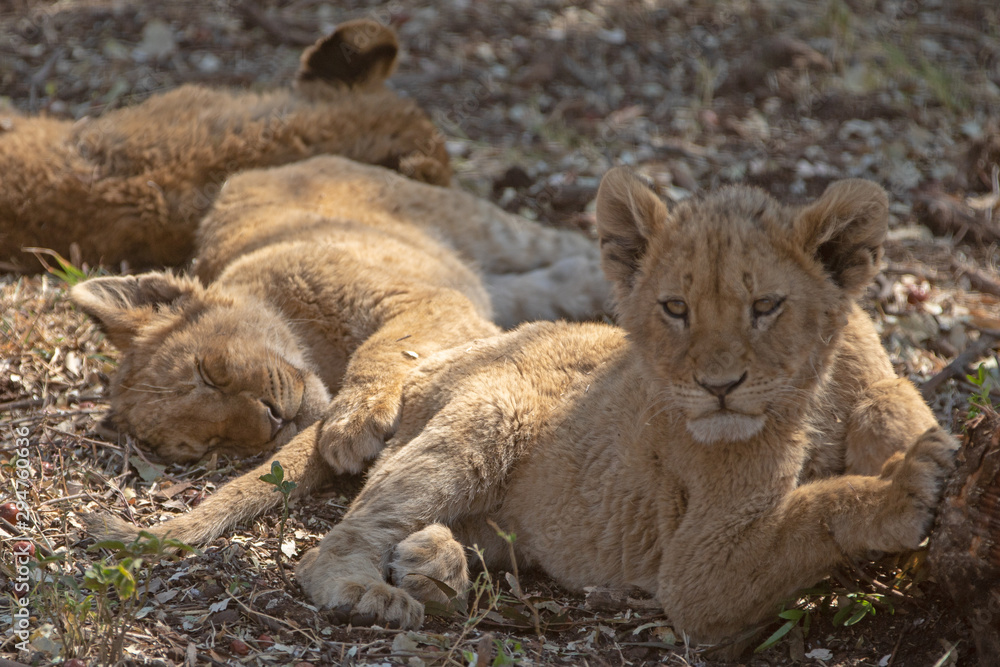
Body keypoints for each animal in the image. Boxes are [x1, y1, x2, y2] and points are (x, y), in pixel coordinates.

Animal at [72, 155, 609, 468]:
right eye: (208, 446)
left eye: (208, 373)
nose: (273, 424)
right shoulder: (452, 301)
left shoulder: (421, 299)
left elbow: (384, 349)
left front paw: (352, 423)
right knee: (526, 288)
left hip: (481, 225)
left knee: (557, 240)